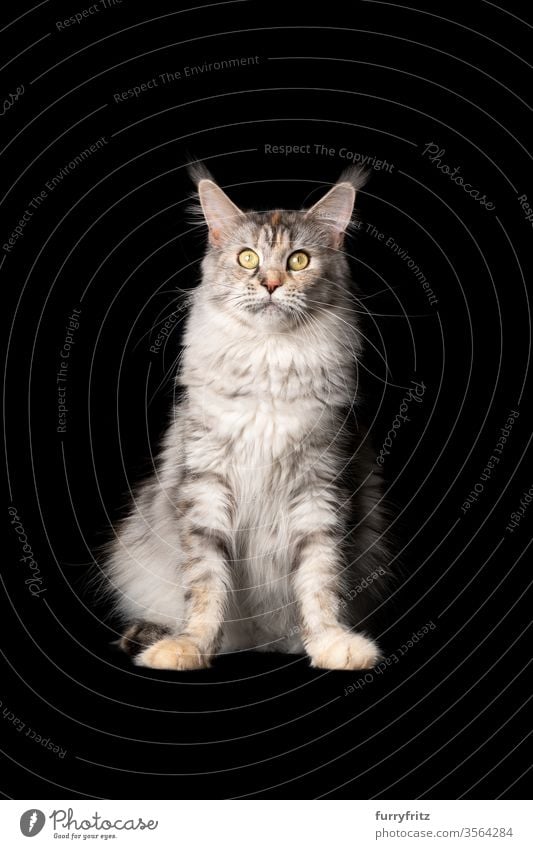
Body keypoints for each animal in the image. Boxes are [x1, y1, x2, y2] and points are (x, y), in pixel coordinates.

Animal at [104, 166, 388, 668]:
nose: (271, 284)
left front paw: (330, 643)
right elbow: (205, 584)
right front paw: (191, 646)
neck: (269, 362)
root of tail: (259, 644)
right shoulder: (207, 486)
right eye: (247, 257)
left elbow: (319, 581)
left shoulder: (319, 487)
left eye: (299, 261)